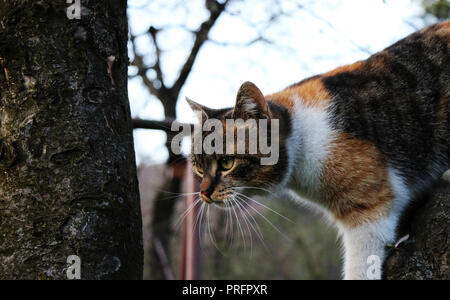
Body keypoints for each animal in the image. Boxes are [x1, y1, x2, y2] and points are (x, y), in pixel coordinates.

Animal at [186, 20, 450, 278]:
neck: (301, 135)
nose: (204, 193)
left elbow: (361, 263)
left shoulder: (370, 207)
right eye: (198, 167)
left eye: (227, 163)